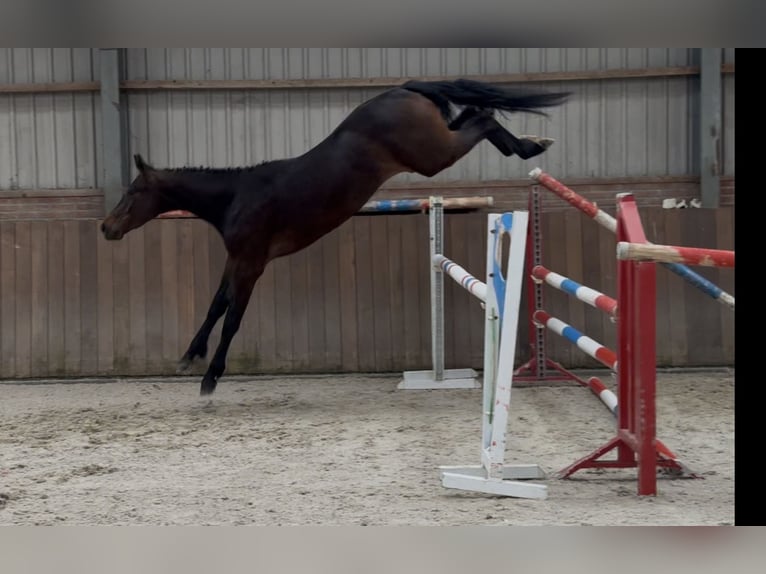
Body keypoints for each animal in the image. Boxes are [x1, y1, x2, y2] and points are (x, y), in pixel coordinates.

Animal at [101, 78, 570, 395]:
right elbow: (216, 306)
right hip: (438, 145)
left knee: (483, 118)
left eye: (134, 192)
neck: (238, 196)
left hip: (434, 156)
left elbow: (232, 319)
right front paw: (188, 357)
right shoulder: (236, 260)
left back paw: (532, 145)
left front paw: (210, 379)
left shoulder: (252, 265)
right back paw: (532, 143)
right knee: (475, 114)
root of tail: (403, 89)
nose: (107, 227)